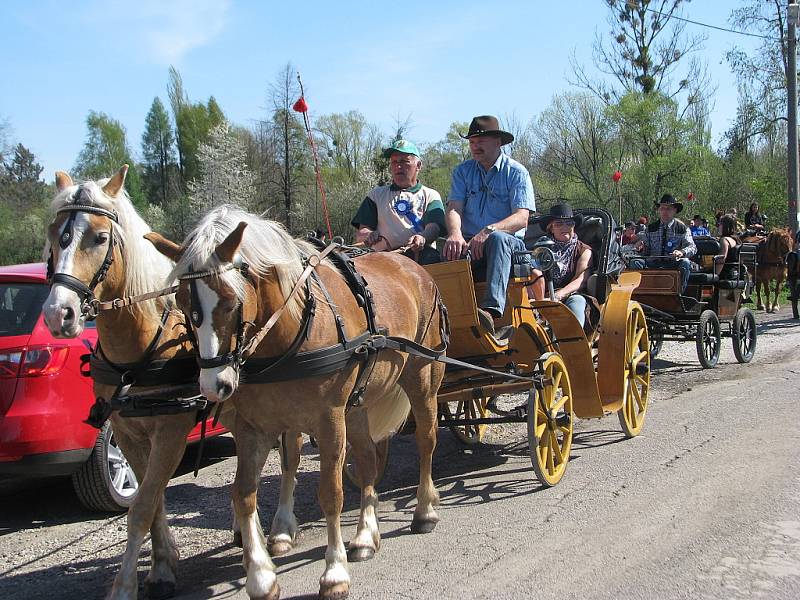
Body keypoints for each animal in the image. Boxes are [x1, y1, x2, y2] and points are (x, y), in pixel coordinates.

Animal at [36, 169, 304, 600]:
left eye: (98, 237)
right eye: (53, 232)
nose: (59, 314)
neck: (140, 343)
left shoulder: (171, 430)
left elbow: (142, 506)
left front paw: (126, 584)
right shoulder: (128, 433)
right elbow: (153, 499)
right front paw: (162, 565)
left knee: (290, 457)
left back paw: (279, 528)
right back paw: (244, 530)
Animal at [148, 206, 450, 600]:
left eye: (230, 300)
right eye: (183, 303)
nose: (215, 385)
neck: (289, 332)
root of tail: (411, 265)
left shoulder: (329, 419)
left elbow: (331, 494)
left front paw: (334, 572)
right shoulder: (253, 428)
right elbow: (243, 494)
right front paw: (261, 575)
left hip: (423, 377)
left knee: (426, 441)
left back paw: (425, 510)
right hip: (357, 406)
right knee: (368, 461)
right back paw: (365, 535)